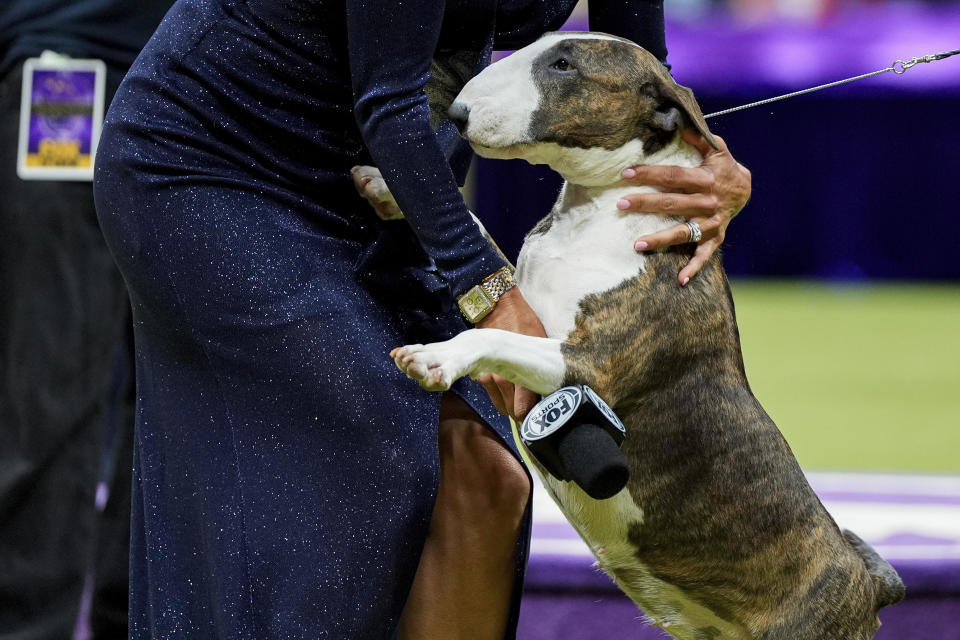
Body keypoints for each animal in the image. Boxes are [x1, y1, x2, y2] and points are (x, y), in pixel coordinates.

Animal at [386, 32, 904, 640]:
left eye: (565, 65)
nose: (460, 113)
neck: (593, 213)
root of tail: (867, 584)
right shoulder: (514, 299)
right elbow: (477, 240)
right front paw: (379, 184)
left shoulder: (589, 363)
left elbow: (492, 340)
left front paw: (431, 357)